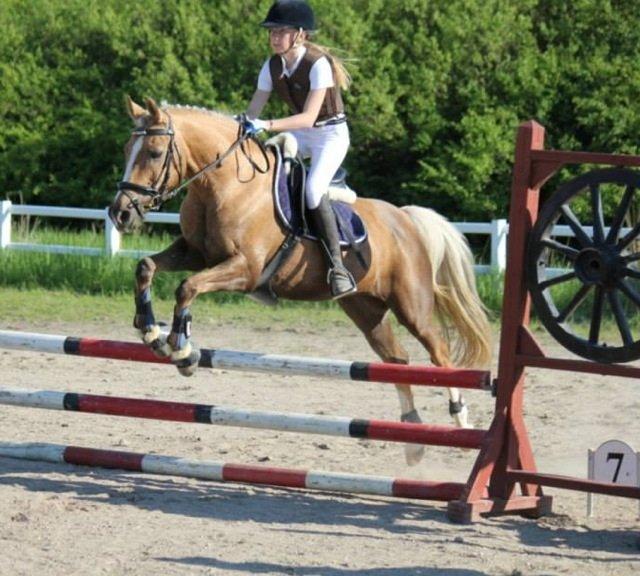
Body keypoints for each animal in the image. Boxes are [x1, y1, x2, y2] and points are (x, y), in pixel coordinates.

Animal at [109, 97, 492, 465]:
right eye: (126, 149)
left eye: (154, 152)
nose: (120, 213)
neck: (223, 186)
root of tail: (405, 217)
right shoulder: (194, 253)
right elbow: (146, 267)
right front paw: (150, 331)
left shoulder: (244, 270)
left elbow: (186, 287)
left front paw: (181, 349)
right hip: (365, 309)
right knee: (397, 360)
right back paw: (412, 440)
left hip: (412, 307)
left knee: (439, 352)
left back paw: (459, 417)